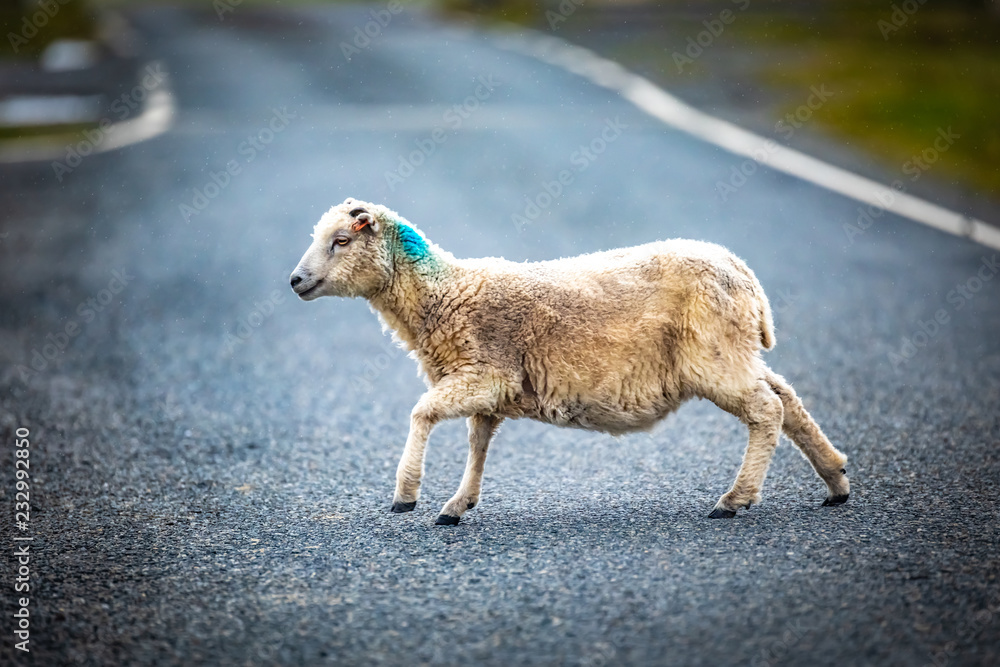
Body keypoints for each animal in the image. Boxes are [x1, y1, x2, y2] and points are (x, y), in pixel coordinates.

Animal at [289, 198, 850, 525]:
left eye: (340, 241)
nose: (295, 281)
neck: (443, 293)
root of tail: (743, 271)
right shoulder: (487, 387)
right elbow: (477, 442)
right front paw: (458, 504)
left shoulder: (485, 372)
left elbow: (422, 413)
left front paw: (406, 494)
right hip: (733, 350)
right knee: (785, 396)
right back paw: (836, 479)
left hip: (714, 356)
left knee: (766, 410)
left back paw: (736, 499)